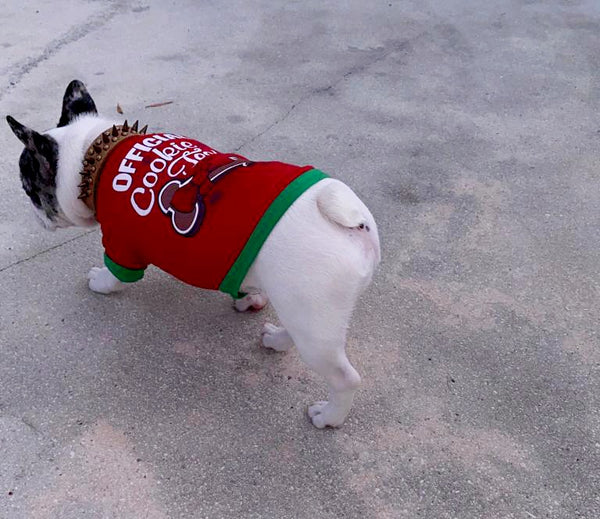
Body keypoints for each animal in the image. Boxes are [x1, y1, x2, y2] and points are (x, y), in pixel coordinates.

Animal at [5, 81, 380, 428]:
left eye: (29, 191)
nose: (36, 215)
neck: (93, 156)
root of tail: (355, 222)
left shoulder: (121, 244)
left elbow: (115, 276)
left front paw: (98, 281)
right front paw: (248, 300)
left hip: (315, 320)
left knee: (345, 378)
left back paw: (328, 416)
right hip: (300, 309)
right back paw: (276, 340)